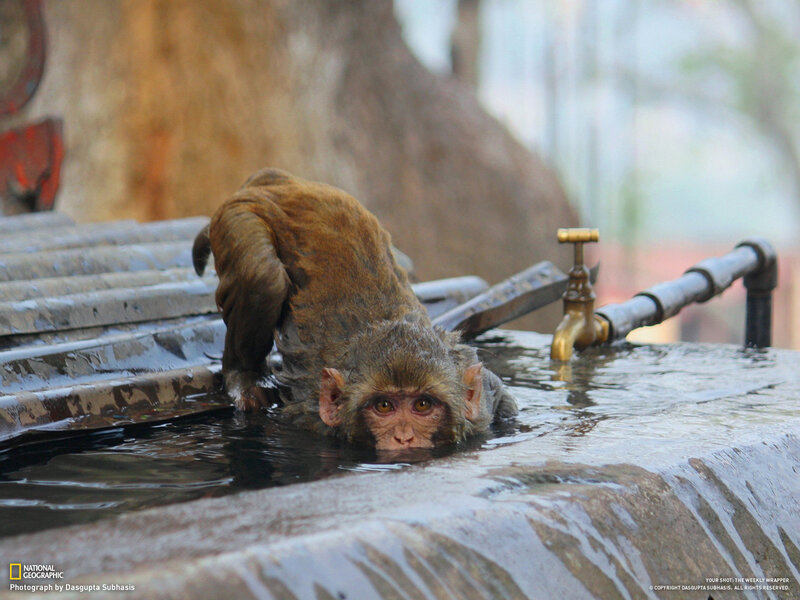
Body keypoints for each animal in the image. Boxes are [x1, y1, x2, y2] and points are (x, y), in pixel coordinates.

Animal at [193, 168, 517, 451]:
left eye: (422, 405)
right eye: (384, 406)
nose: (404, 438)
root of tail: (281, 182)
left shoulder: (483, 403)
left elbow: (503, 399)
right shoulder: (310, 418)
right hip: (238, 217)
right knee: (264, 276)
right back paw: (244, 377)